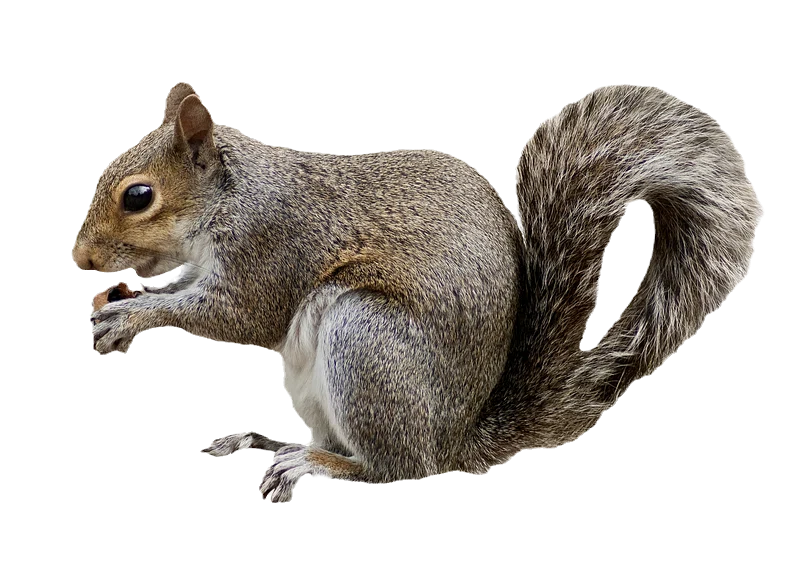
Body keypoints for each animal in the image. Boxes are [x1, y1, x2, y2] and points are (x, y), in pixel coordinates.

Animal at [72, 82, 763, 502]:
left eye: (139, 196)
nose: (80, 258)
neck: (233, 197)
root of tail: (457, 440)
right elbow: (189, 286)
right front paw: (118, 301)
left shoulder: (272, 248)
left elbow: (236, 314)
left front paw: (133, 315)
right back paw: (278, 443)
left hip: (366, 340)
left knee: (397, 468)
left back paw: (316, 464)